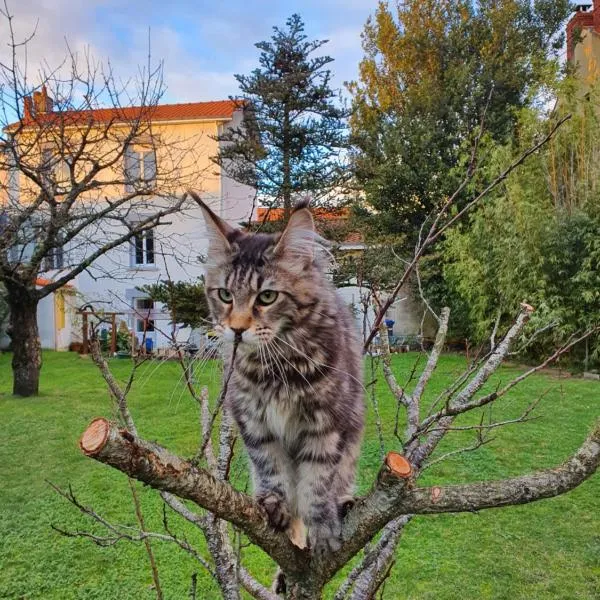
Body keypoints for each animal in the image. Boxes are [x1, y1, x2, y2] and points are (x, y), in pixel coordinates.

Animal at [195, 191, 364, 552]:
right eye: (225, 295)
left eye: (267, 297)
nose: (237, 329)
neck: (274, 368)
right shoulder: (255, 425)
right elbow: (273, 470)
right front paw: (275, 506)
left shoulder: (327, 425)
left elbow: (317, 482)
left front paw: (323, 527)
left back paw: (343, 506)